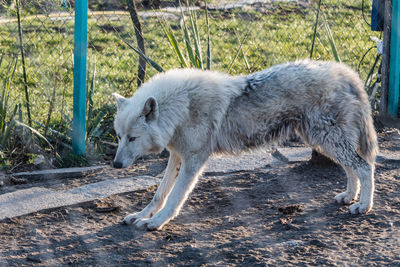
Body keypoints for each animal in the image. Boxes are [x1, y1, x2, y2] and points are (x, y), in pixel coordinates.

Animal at [112, 59, 378, 231]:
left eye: (133, 138)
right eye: (119, 136)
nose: (115, 164)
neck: (182, 107)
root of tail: (345, 71)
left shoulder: (193, 161)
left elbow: (174, 198)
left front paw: (156, 223)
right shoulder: (176, 157)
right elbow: (159, 195)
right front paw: (140, 216)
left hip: (328, 141)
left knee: (364, 166)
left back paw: (363, 206)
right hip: (324, 143)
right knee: (352, 167)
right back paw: (349, 197)